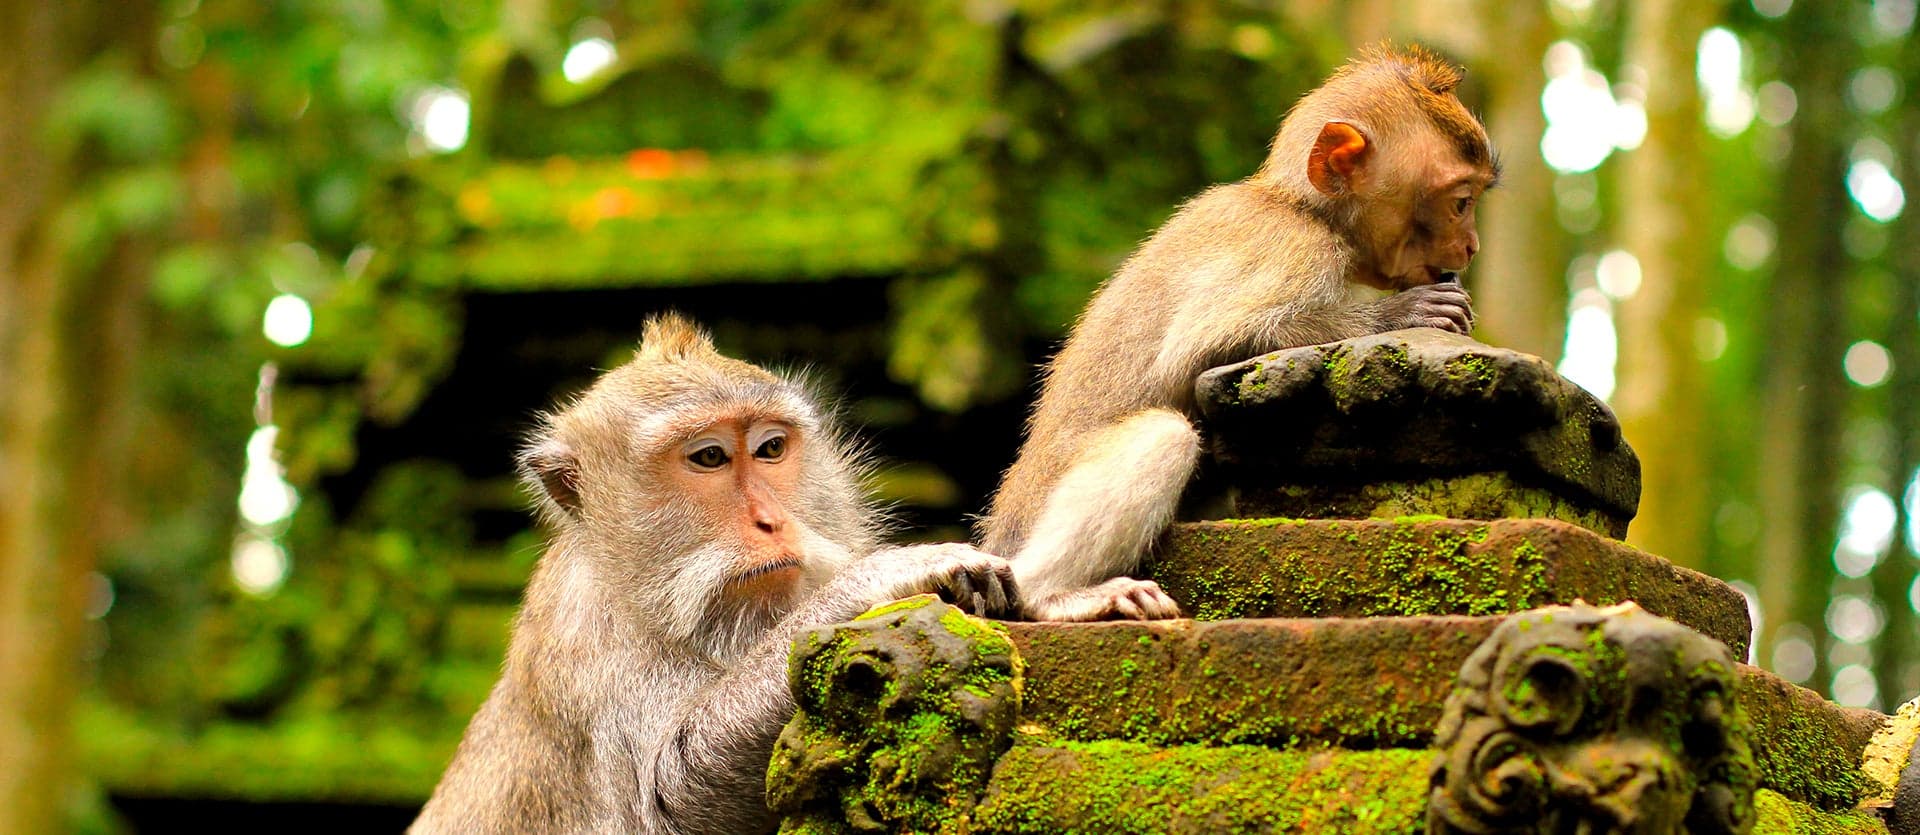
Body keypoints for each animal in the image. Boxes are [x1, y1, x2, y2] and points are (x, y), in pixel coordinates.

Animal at [412, 314, 1019, 835]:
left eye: (770, 448)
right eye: (709, 458)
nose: (771, 520)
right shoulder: (588, 646)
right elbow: (672, 799)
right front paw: (880, 575)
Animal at [981, 44, 1498, 622]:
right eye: (1460, 202)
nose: (1471, 245)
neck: (1304, 207)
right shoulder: (1296, 247)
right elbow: (1202, 348)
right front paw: (1402, 314)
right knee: (1164, 435)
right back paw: (1053, 594)